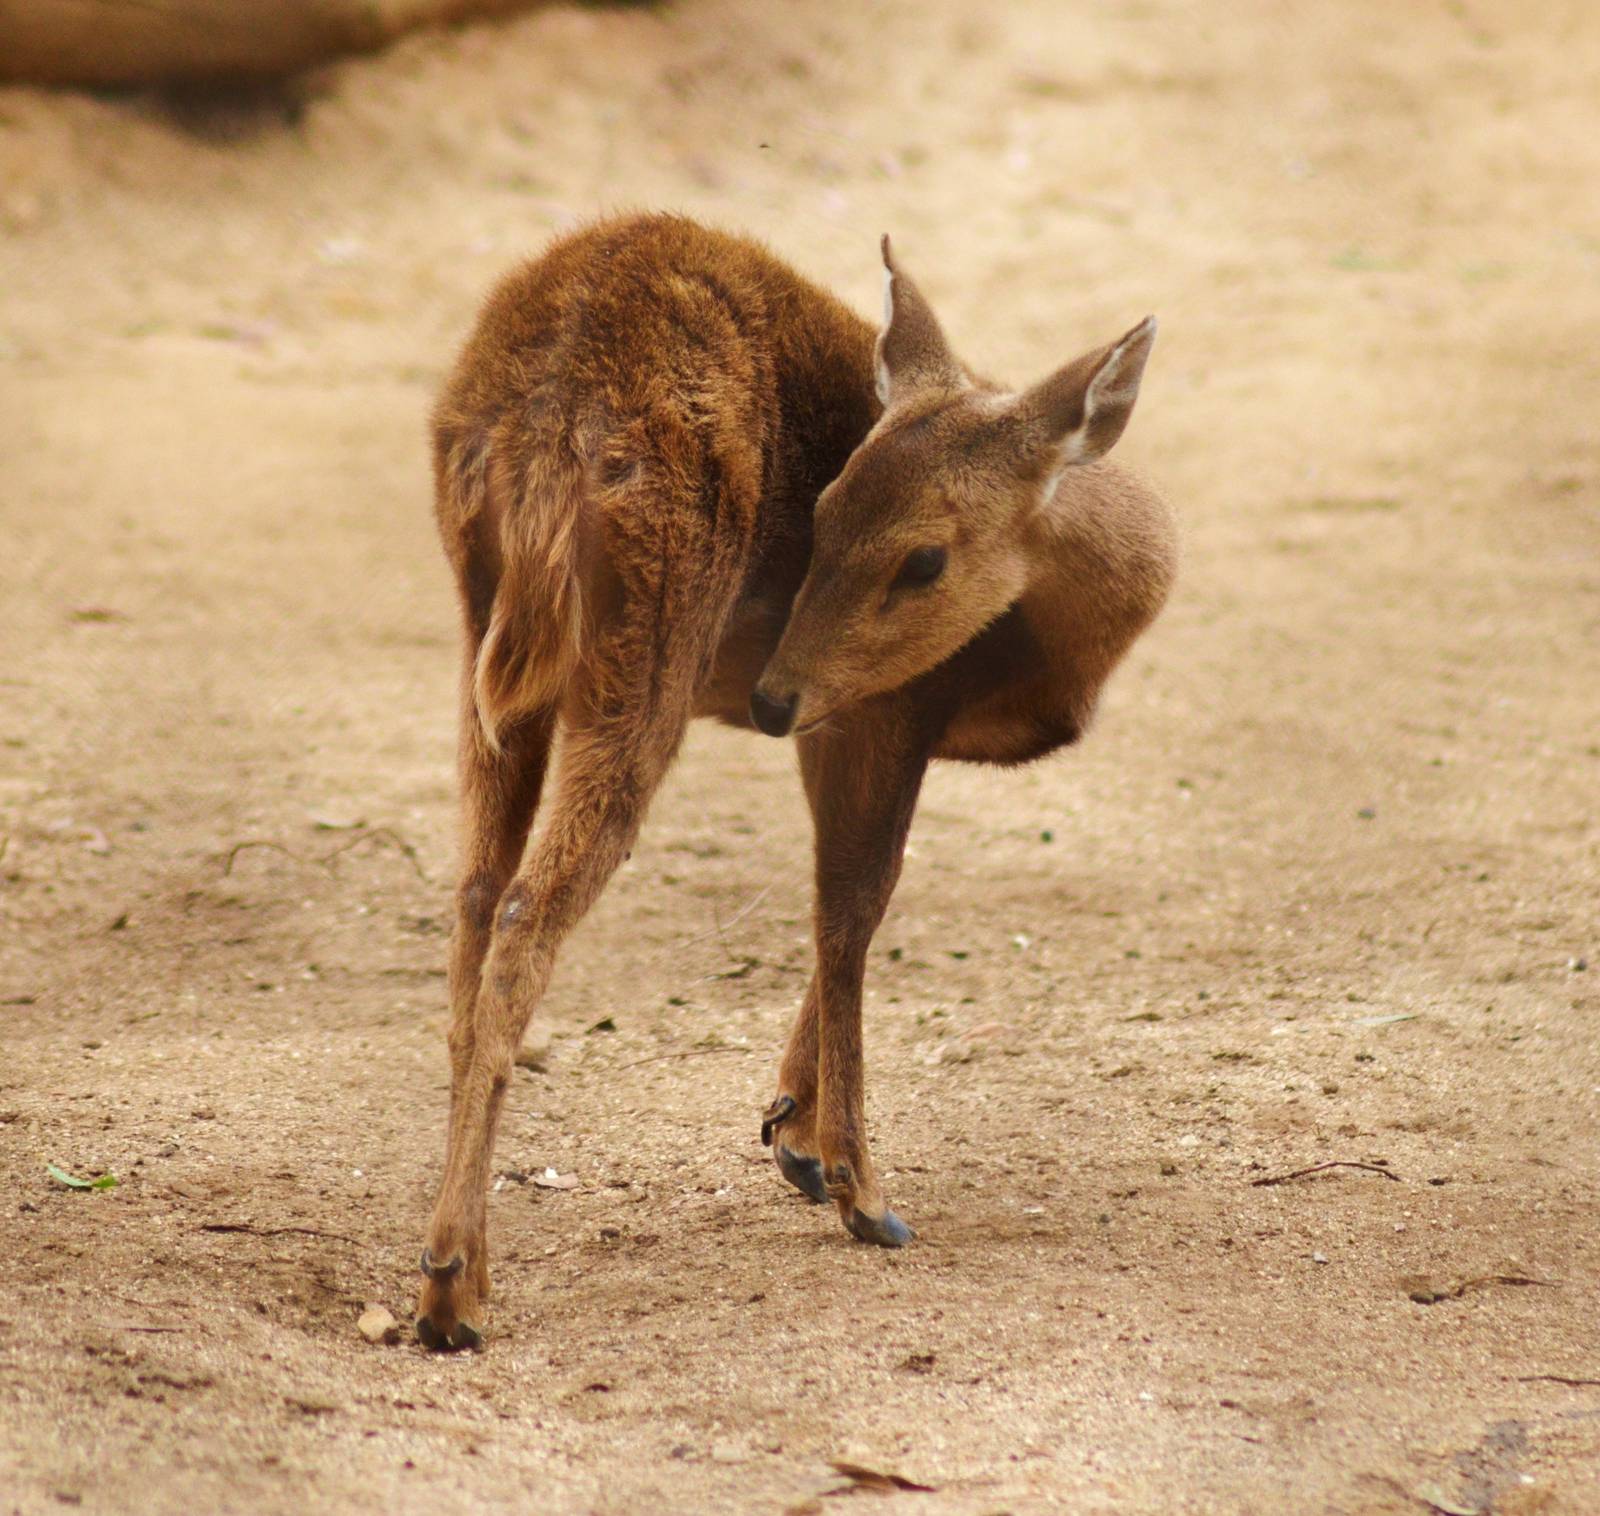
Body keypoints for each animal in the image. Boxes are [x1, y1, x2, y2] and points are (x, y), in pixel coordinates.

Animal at [416, 213, 1176, 1349]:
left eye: (917, 557)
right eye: (821, 511)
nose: (771, 697)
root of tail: (536, 420)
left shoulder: (851, 719)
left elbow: (855, 904)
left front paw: (792, 1130)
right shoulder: (876, 710)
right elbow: (852, 910)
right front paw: (859, 1186)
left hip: (490, 654)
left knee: (470, 894)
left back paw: (444, 1258)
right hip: (645, 638)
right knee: (524, 912)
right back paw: (453, 1293)